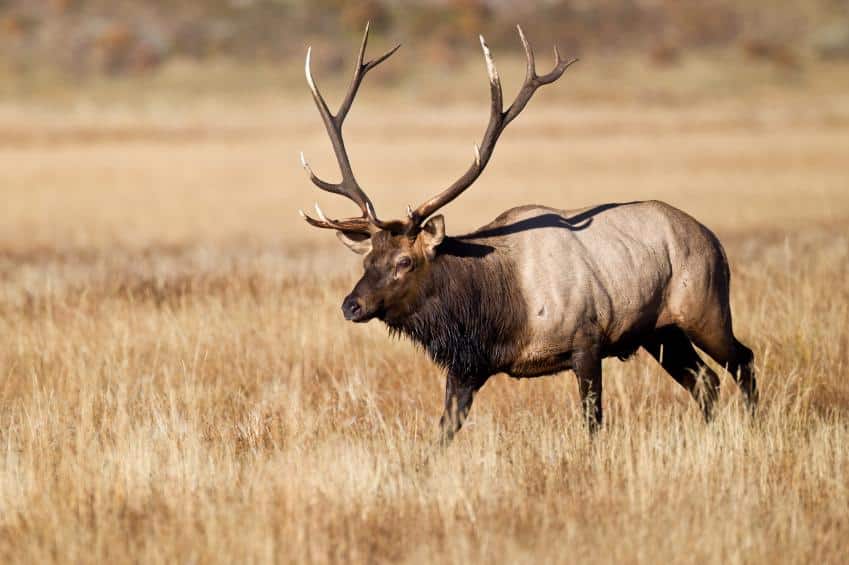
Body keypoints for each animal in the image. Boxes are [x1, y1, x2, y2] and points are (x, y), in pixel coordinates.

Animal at [296, 24, 756, 442]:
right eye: (368, 260)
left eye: (404, 261)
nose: (351, 306)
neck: (493, 313)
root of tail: (713, 239)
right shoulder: (468, 366)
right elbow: (443, 431)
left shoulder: (587, 340)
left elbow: (593, 424)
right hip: (661, 332)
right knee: (706, 382)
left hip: (704, 307)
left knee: (742, 360)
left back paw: (754, 429)